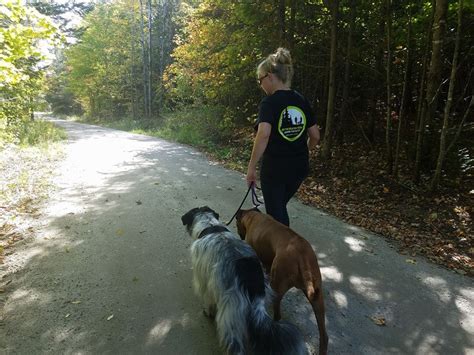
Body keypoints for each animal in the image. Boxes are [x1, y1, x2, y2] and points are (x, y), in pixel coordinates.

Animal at [236, 209, 328, 355]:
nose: (239, 235)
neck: (252, 216)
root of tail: (302, 257)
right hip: (317, 298)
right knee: (324, 335)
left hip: (278, 285)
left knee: (277, 315)